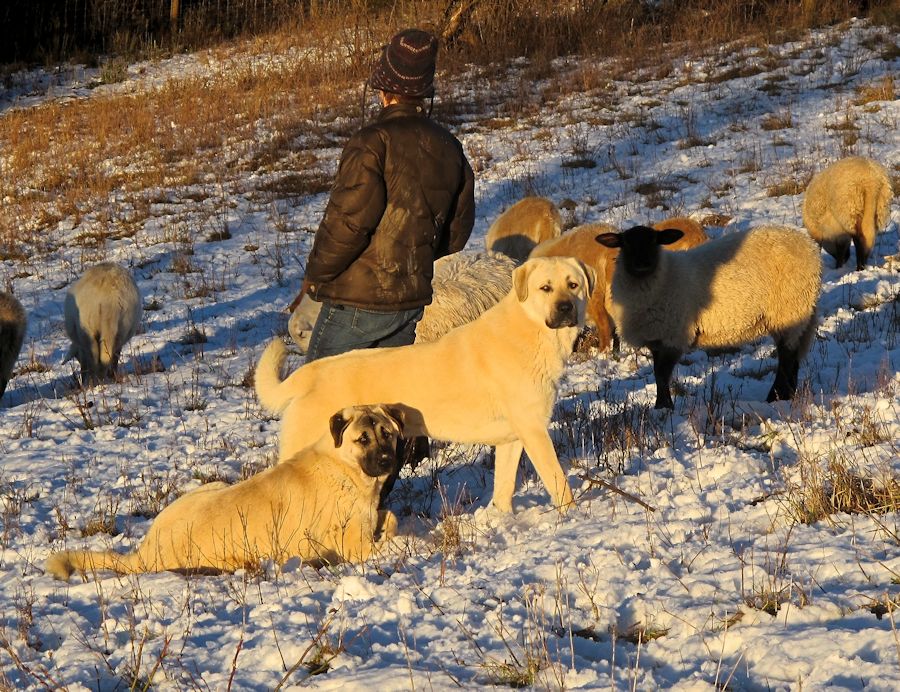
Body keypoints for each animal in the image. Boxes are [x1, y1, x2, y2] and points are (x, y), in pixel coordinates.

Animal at [44, 406, 404, 580]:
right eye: (362, 439)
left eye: (387, 433)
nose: (388, 461)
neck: (345, 467)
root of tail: (145, 553)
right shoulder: (355, 546)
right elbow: (390, 537)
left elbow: (391, 517)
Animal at [253, 255, 596, 512]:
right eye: (545, 288)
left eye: (573, 285)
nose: (566, 308)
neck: (530, 330)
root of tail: (312, 371)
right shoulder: (534, 431)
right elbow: (558, 481)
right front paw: (572, 518)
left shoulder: (513, 438)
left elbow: (504, 488)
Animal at [596, 227, 824, 408]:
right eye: (625, 243)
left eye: (654, 240)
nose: (642, 262)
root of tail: (809, 246)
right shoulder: (657, 338)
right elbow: (657, 373)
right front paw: (660, 406)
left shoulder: (675, 335)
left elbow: (662, 374)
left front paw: (665, 407)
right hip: (797, 314)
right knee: (794, 359)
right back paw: (787, 396)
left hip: (788, 311)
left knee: (786, 359)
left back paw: (775, 398)